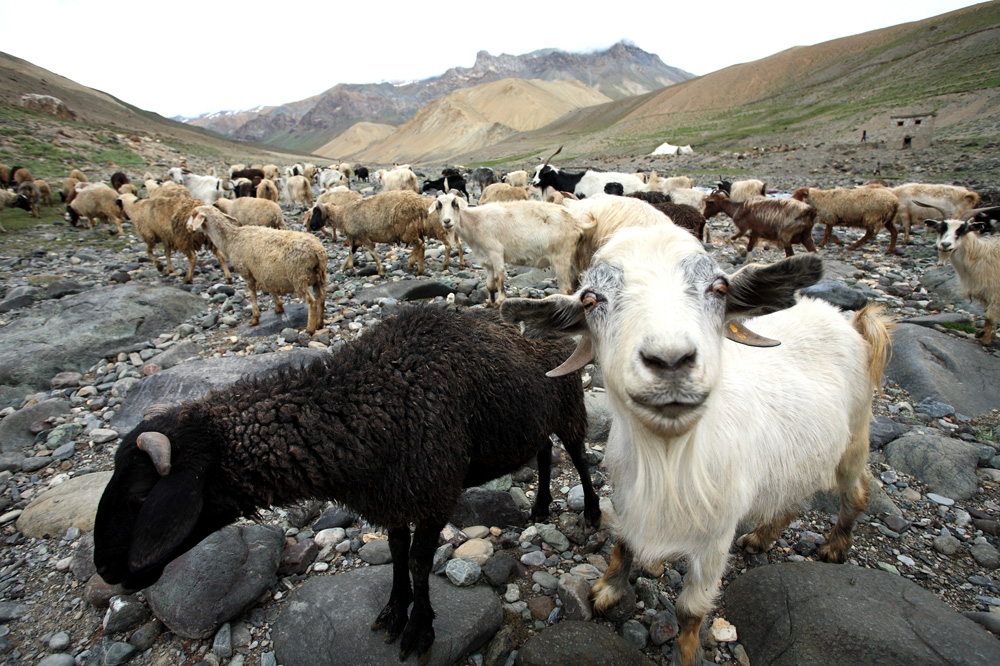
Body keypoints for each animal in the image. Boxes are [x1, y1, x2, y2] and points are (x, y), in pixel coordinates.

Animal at [94, 304, 596, 660]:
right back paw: (540, 507)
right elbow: (396, 553)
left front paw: (419, 629)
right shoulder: (393, 496)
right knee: (545, 451)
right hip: (535, 420)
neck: (367, 403)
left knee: (577, 455)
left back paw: (590, 512)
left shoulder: (433, 492)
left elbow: (419, 562)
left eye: (140, 497)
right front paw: (394, 612)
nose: (104, 569)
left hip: (570, 405)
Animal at [188, 205, 328, 334]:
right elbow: (271, 289)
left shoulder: (246, 271)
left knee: (312, 302)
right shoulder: (264, 273)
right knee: (321, 298)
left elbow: (252, 294)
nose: (188, 227)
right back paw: (319, 323)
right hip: (318, 277)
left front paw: (254, 318)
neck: (230, 239)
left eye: (193, 215)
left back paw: (310, 329)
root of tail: (317, 250)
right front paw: (278, 307)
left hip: (298, 277)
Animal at [430, 192, 592, 306]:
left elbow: (500, 277)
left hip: (560, 257)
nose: (447, 222)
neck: (475, 222)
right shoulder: (487, 260)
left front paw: (501, 300)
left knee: (566, 288)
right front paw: (490, 302)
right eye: (438, 206)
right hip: (570, 258)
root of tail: (576, 222)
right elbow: (489, 283)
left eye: (454, 204)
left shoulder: (496, 252)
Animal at [504, 223, 896, 664]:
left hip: (856, 435)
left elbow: (690, 610)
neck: (670, 460)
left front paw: (686, 654)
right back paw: (762, 537)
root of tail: (849, 321)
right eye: (590, 299)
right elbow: (623, 543)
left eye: (719, 288)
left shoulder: (716, 536)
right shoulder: (627, 495)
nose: (670, 360)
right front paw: (607, 591)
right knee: (793, 496)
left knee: (856, 490)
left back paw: (834, 546)